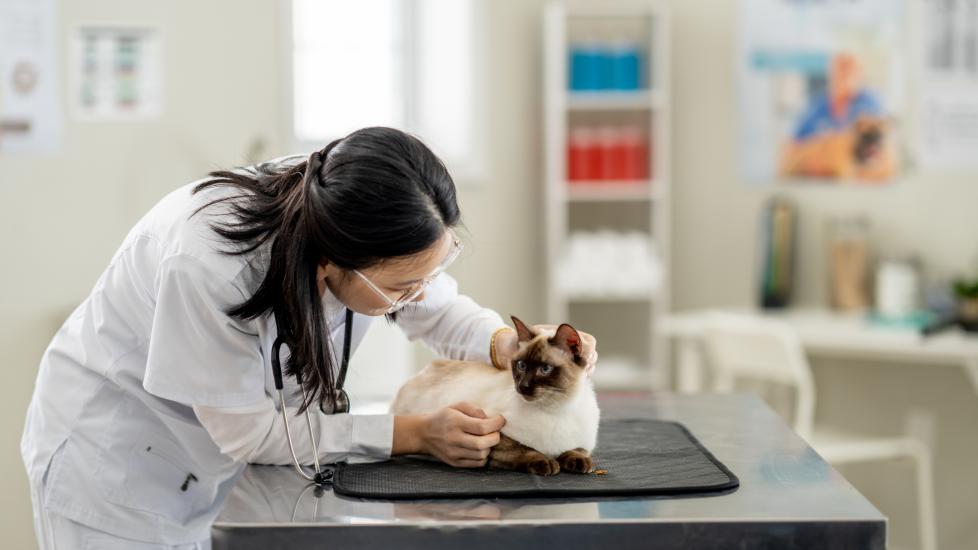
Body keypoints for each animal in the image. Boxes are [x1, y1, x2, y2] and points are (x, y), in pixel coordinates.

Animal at [388, 316, 596, 476]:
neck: (556, 408)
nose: (522, 386)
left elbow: (579, 450)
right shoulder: (496, 439)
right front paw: (547, 463)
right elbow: (526, 450)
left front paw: (579, 463)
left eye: (545, 369)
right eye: (521, 365)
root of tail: (427, 368)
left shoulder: (583, 442)